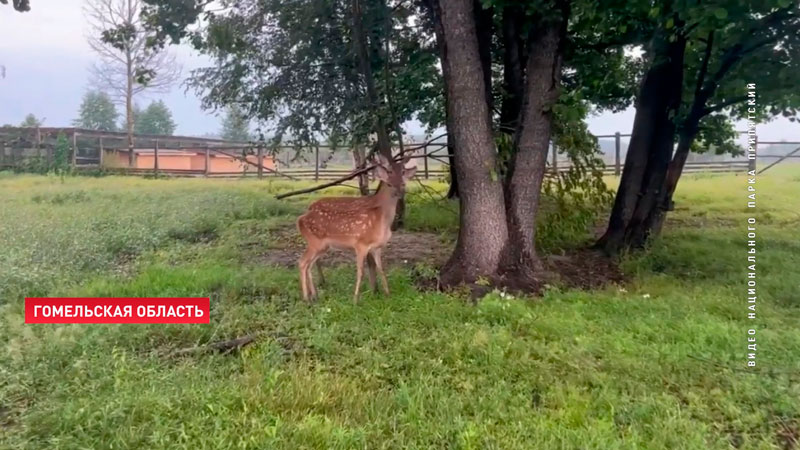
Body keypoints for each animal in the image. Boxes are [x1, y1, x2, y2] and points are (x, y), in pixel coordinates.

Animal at [296, 154, 416, 302]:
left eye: (404, 175)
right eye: (389, 182)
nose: (400, 192)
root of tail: (301, 218)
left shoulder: (377, 247)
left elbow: (381, 269)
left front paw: (387, 294)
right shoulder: (360, 244)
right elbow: (361, 271)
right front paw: (356, 299)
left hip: (322, 246)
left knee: (309, 264)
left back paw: (314, 295)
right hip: (315, 243)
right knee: (302, 262)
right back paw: (307, 298)